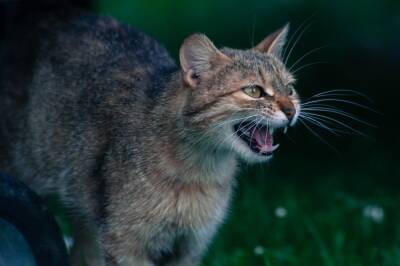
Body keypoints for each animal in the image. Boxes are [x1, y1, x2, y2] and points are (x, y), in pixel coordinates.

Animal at [0, 7, 298, 264]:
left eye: (290, 89)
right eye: (254, 91)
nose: (292, 110)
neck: (199, 170)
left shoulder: (189, 247)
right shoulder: (124, 243)